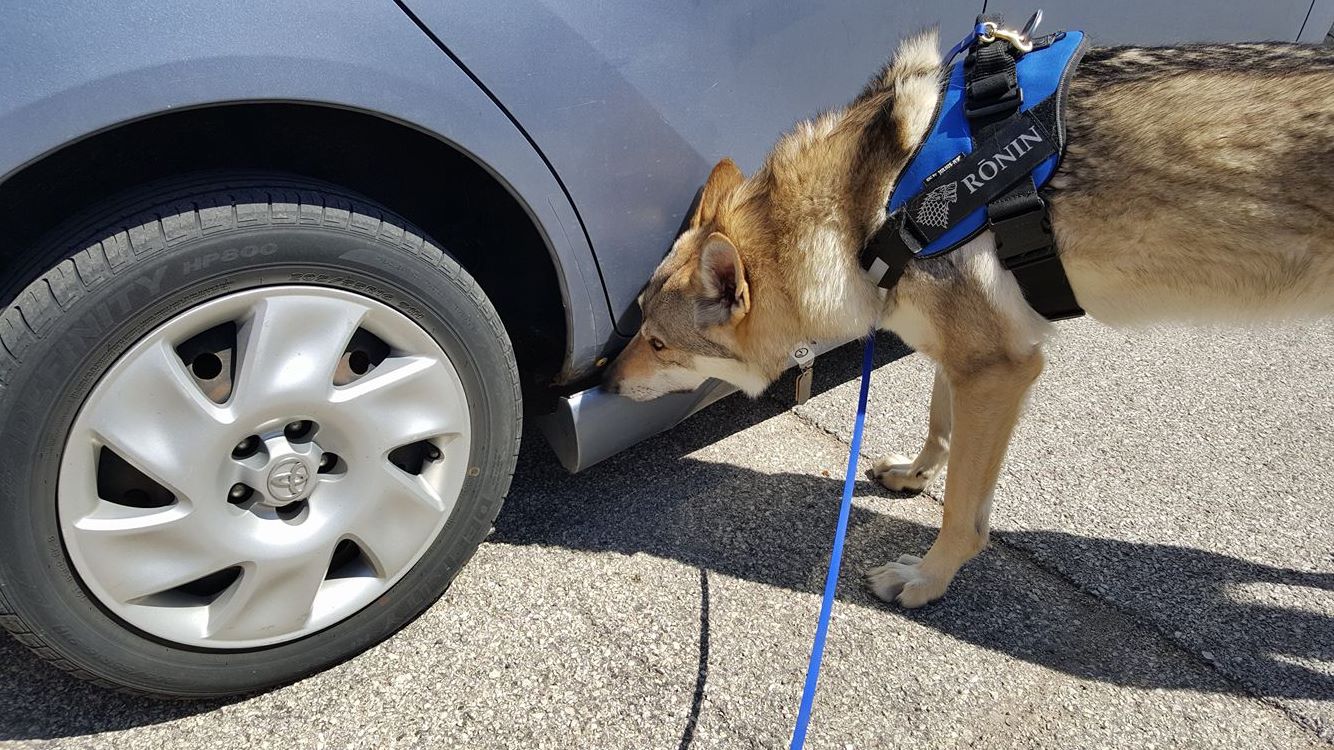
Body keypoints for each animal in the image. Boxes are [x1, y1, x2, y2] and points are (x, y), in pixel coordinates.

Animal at [605, 32, 1334, 608]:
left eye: (659, 343)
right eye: (636, 322)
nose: (606, 383)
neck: (877, 205)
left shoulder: (1001, 370)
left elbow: (963, 510)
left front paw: (927, 580)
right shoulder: (965, 359)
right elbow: (940, 426)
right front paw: (915, 474)